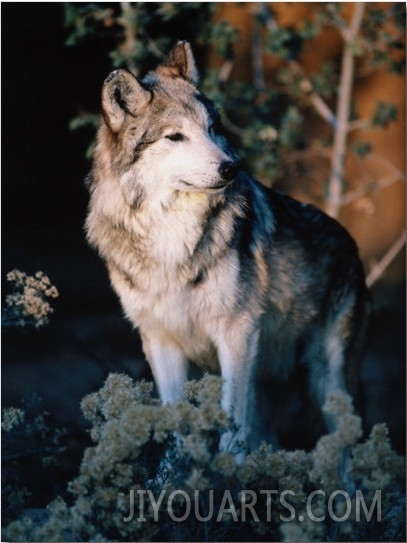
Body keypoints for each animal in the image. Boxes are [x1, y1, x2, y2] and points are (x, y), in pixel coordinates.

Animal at [86, 41, 370, 450]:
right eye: (176, 137)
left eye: (210, 130)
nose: (231, 168)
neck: (170, 236)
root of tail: (351, 241)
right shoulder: (160, 341)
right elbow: (176, 420)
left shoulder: (237, 333)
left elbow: (232, 425)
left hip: (328, 381)